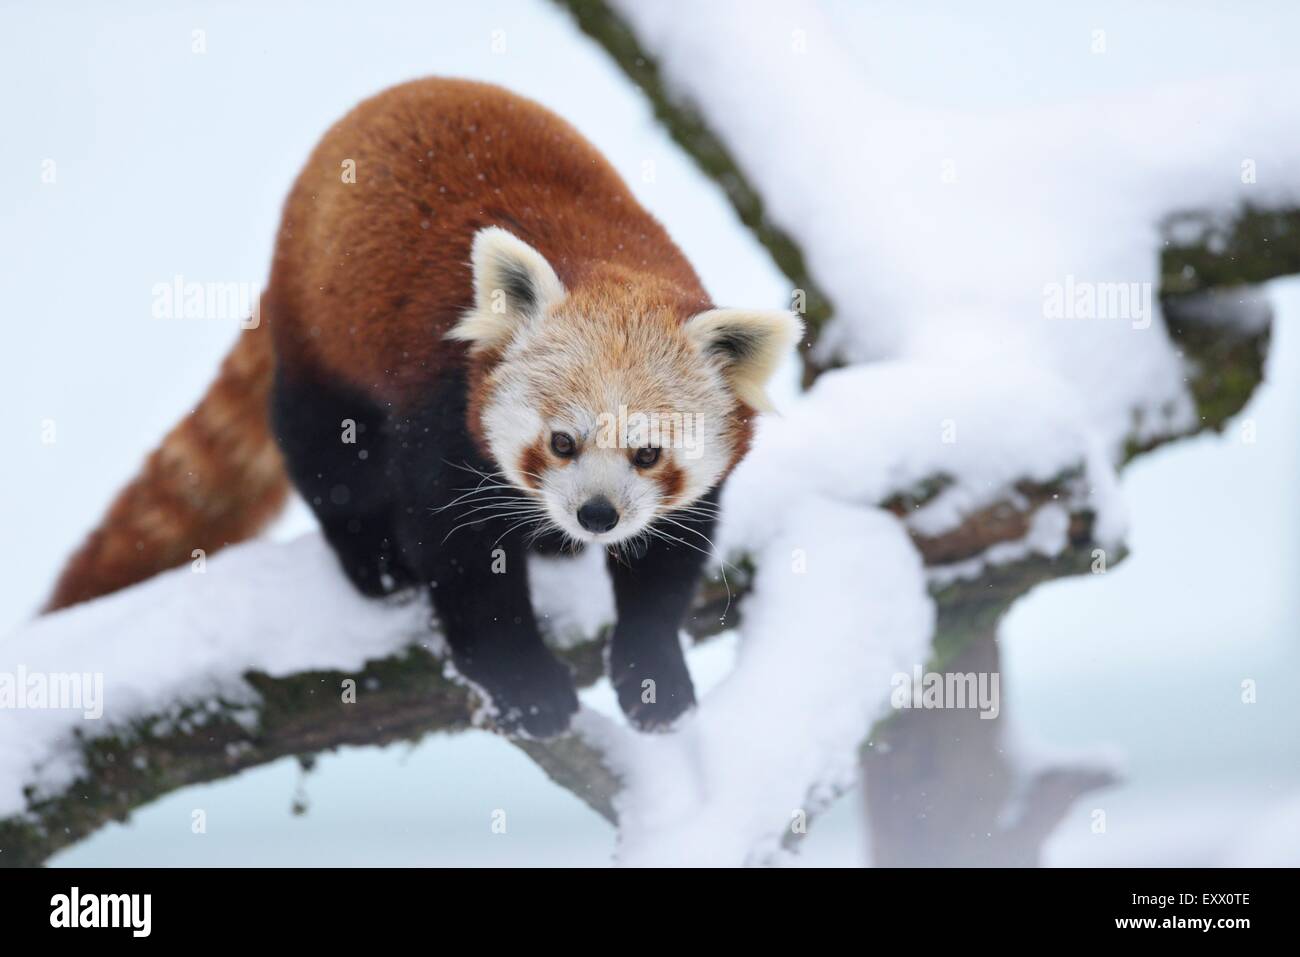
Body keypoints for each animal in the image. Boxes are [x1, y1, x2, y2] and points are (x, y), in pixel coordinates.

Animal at [45, 78, 795, 738]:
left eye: (647, 453)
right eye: (561, 442)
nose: (596, 516)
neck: (608, 259)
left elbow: (667, 560)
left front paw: (654, 677)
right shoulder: (442, 408)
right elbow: (457, 553)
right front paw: (526, 689)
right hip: (326, 333)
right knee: (324, 453)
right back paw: (375, 566)